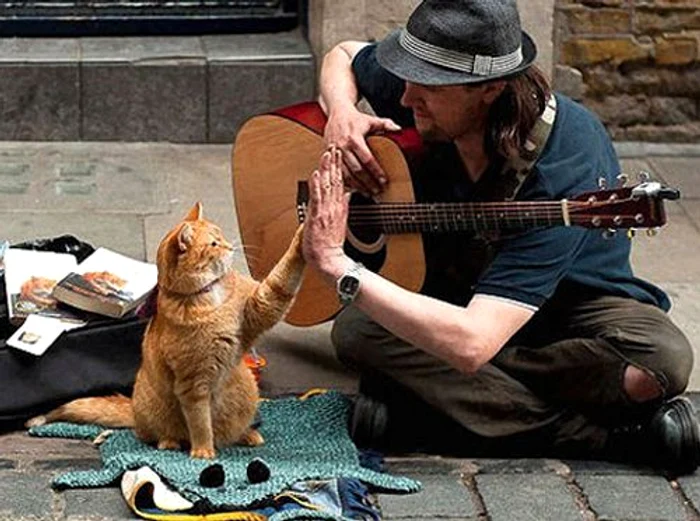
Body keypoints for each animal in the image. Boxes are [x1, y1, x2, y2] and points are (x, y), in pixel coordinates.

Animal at [27, 201, 306, 458]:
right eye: (214, 244)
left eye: (221, 236)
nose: (231, 247)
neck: (209, 295)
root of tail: (133, 407)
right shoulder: (192, 384)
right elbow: (200, 423)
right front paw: (203, 452)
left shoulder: (262, 306)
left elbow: (282, 277)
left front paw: (303, 233)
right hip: (156, 412)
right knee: (159, 434)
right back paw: (170, 442)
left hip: (247, 389)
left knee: (230, 432)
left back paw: (247, 435)